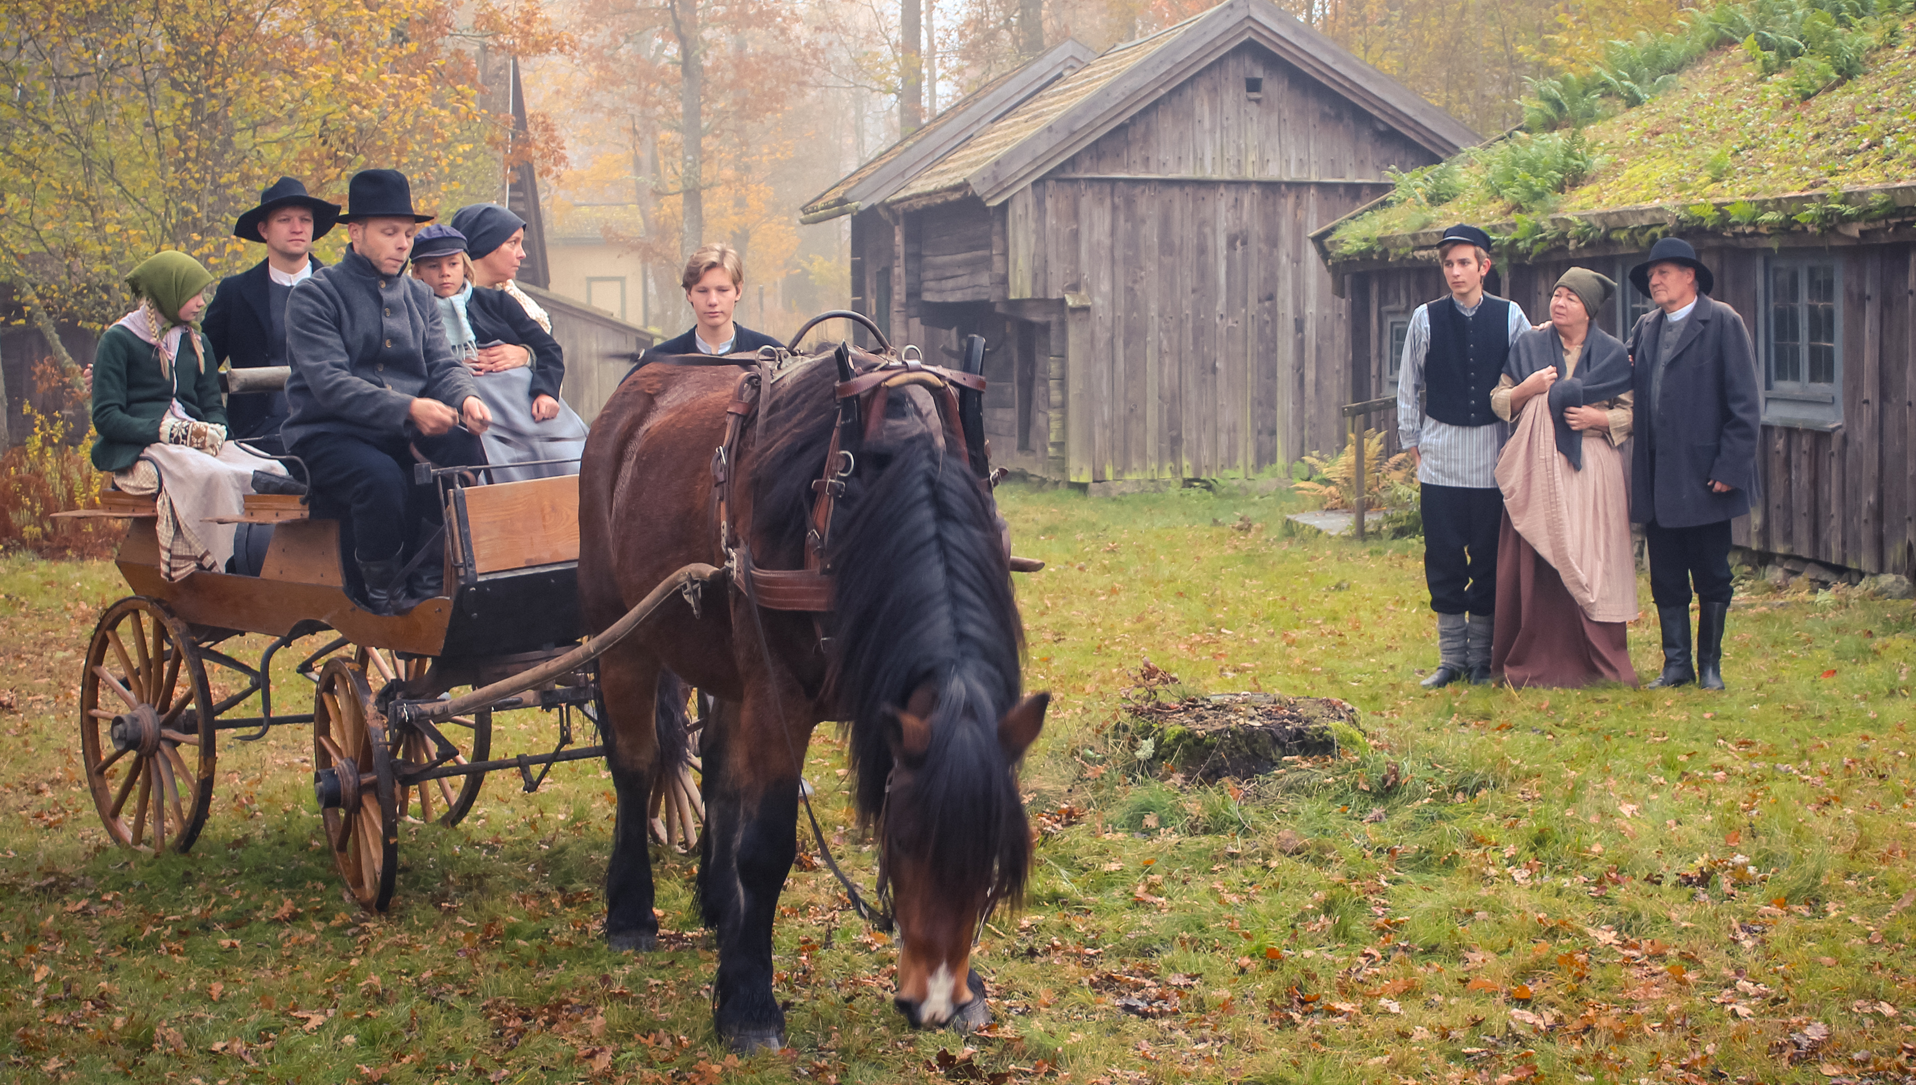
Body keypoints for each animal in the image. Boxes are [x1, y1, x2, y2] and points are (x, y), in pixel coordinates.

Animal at [578, 333, 1049, 1058]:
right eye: (903, 839)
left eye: (995, 854)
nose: (935, 1002)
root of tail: (634, 392)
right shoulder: (779, 695)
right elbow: (767, 844)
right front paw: (748, 1003)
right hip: (622, 633)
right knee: (633, 765)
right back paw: (631, 912)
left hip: (724, 658)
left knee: (717, 771)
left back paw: (720, 906)